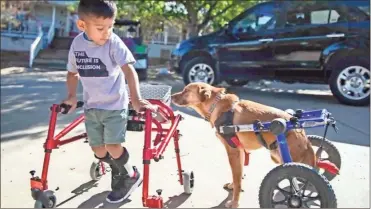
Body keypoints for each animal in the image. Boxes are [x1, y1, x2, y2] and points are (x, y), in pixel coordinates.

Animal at [172, 82, 316, 208]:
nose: (171, 96)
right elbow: (238, 176)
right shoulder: (240, 151)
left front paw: (234, 203)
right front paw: (232, 186)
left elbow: (237, 180)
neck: (216, 105)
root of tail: (300, 130)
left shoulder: (233, 151)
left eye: (186, 91)